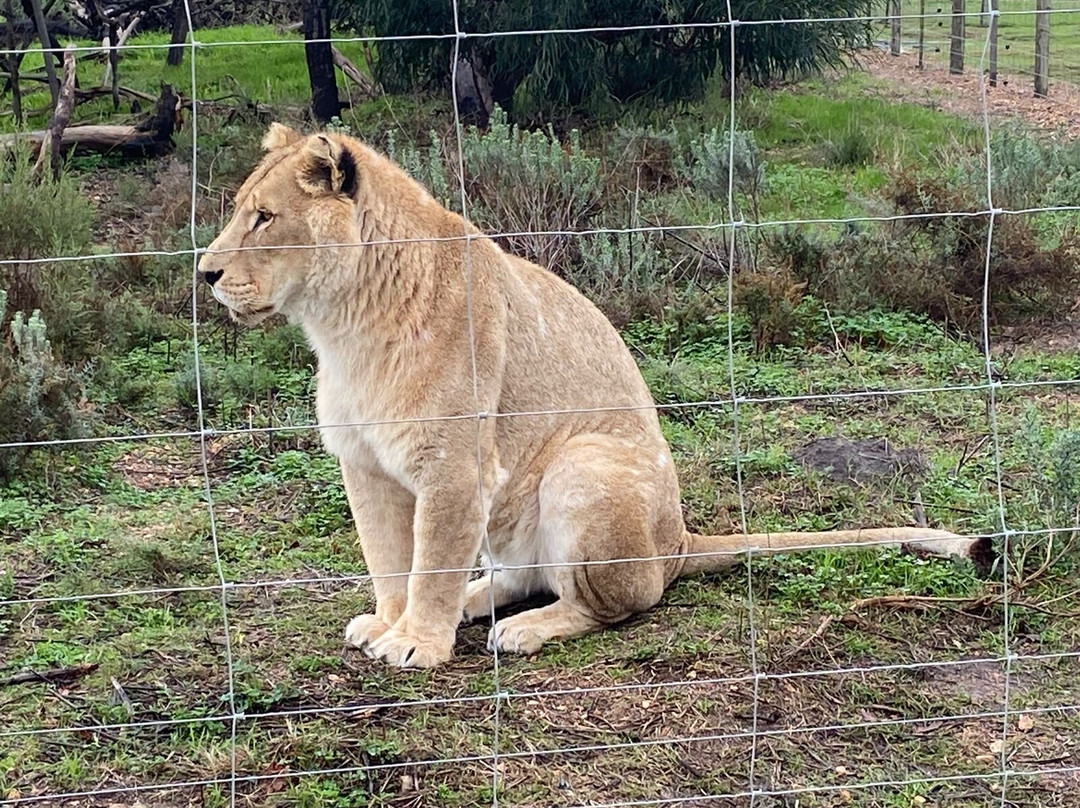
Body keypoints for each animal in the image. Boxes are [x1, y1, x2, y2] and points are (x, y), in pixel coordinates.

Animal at [198, 123, 982, 668]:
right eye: (240, 210)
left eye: (264, 218)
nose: (204, 273)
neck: (343, 324)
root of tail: (678, 540)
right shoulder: (363, 462)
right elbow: (391, 557)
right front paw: (391, 621)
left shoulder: (454, 466)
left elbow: (432, 558)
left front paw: (416, 641)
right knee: (518, 574)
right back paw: (478, 601)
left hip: (584, 462)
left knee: (615, 602)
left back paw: (519, 629)